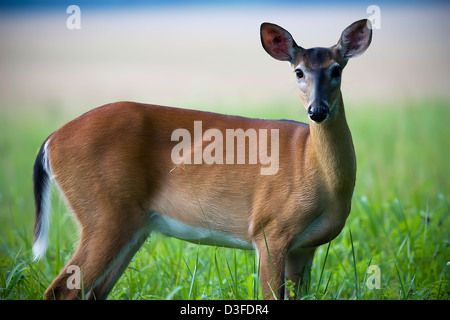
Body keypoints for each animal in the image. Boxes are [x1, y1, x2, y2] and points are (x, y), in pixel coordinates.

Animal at [31, 19, 372, 300]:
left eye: (336, 70)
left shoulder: (305, 247)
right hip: (103, 213)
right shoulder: (270, 229)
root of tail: (51, 140)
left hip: (133, 225)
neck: (311, 167)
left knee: (94, 291)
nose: (317, 110)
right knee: (61, 290)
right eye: (298, 71)